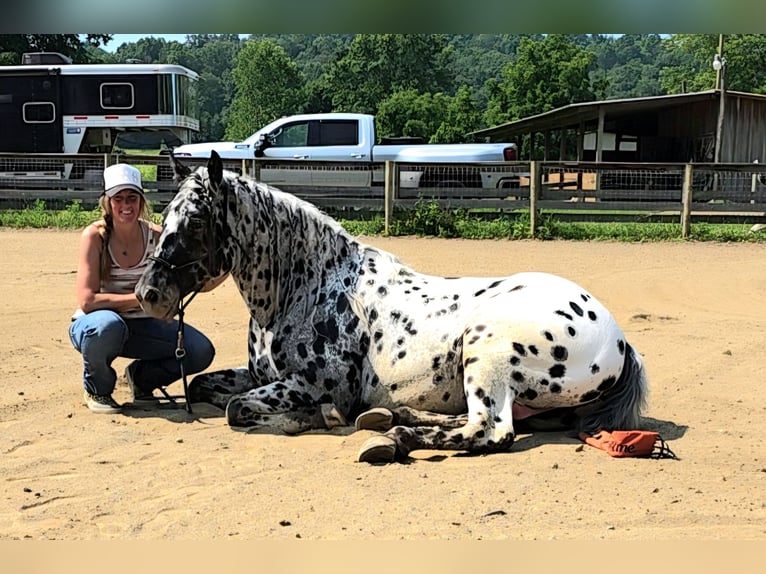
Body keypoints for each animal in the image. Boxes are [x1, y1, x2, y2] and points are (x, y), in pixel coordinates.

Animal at [135, 151, 648, 464]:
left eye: (195, 221)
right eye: (165, 216)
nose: (147, 293)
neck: (305, 288)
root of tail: (621, 342)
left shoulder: (309, 385)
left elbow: (237, 408)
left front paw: (313, 418)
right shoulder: (260, 374)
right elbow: (203, 385)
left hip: (486, 351)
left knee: (488, 430)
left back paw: (397, 437)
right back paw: (393, 418)